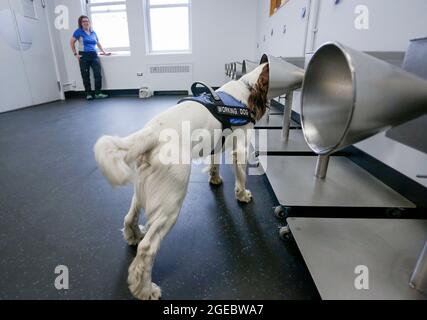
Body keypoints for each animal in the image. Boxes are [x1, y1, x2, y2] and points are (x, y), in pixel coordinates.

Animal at [95, 63, 270, 300]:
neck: (245, 89)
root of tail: (151, 133)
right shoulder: (240, 148)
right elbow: (241, 178)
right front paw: (243, 195)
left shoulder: (217, 143)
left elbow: (214, 162)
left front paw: (215, 178)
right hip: (171, 203)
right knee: (147, 249)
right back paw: (145, 289)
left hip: (142, 189)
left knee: (129, 218)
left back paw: (134, 236)